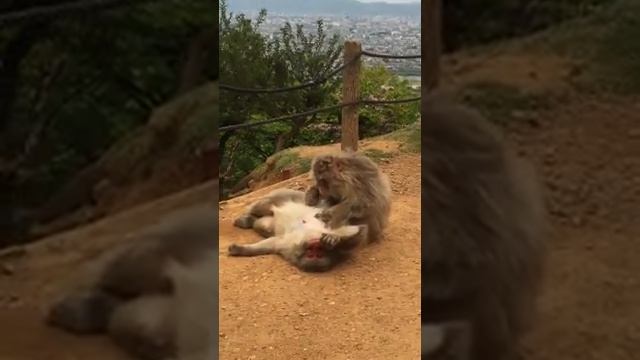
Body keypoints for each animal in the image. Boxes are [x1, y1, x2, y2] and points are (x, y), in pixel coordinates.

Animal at [231, 190, 364, 272]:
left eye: (317, 253)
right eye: (313, 250)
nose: (316, 244)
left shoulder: (286, 246)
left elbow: (271, 244)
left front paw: (240, 249)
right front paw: (332, 239)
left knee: (262, 224)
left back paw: (249, 221)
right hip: (288, 195)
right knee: (264, 205)